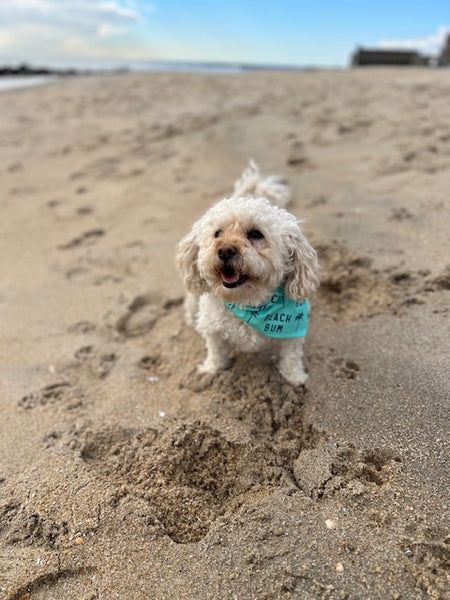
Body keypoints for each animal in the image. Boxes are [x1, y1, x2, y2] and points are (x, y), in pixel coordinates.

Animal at [176, 162, 320, 384]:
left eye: (255, 234)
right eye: (218, 233)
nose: (225, 250)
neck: (247, 303)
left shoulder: (293, 334)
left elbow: (291, 357)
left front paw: (295, 378)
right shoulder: (212, 329)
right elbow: (215, 351)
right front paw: (212, 369)